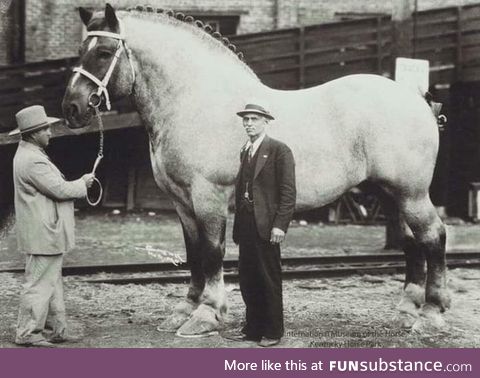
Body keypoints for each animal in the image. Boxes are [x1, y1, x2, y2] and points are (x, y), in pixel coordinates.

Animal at [61, 4, 450, 336]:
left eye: (103, 52)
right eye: (80, 50)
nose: (72, 108)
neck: (196, 100)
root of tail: (416, 98)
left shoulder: (209, 196)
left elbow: (212, 252)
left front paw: (207, 314)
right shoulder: (182, 202)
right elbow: (193, 253)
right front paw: (185, 309)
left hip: (411, 193)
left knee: (433, 236)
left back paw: (431, 314)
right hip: (389, 193)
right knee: (411, 241)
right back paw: (407, 310)